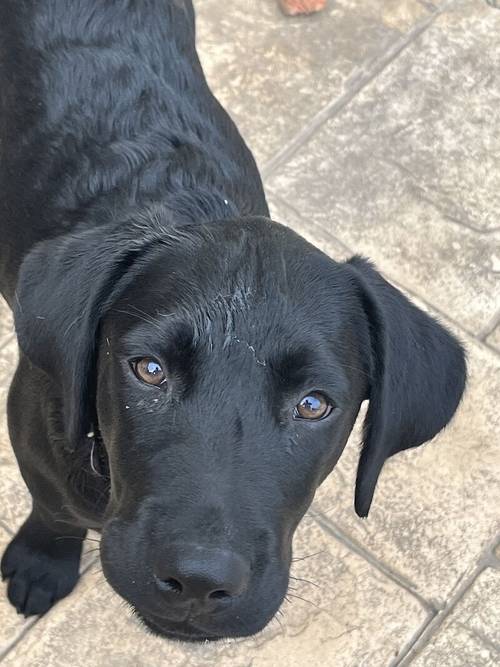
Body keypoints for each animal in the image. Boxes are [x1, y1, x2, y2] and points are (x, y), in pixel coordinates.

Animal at [0, 0, 468, 640]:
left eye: (314, 405)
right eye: (149, 370)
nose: (199, 582)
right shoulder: (33, 431)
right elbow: (53, 505)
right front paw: (42, 560)